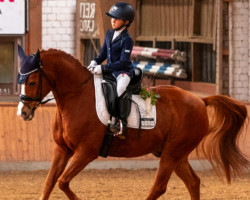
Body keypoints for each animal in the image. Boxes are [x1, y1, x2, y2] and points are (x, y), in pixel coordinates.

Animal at [16, 47, 249, 199]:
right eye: (21, 80)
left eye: (32, 82)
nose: (23, 113)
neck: (77, 96)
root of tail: (201, 100)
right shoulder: (62, 149)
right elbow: (49, 183)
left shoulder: (86, 152)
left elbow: (63, 182)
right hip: (176, 154)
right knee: (193, 182)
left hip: (173, 153)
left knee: (159, 188)